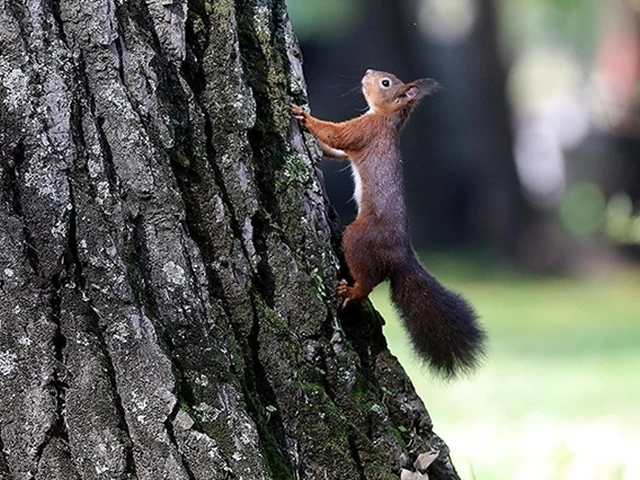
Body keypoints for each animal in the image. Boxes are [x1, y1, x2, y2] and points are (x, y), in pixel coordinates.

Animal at [294, 69, 484, 376]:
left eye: (386, 83)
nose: (368, 72)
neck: (387, 118)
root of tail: (401, 256)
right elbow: (336, 150)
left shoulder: (366, 131)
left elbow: (337, 135)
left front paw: (304, 116)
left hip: (358, 238)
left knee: (368, 281)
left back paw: (353, 290)